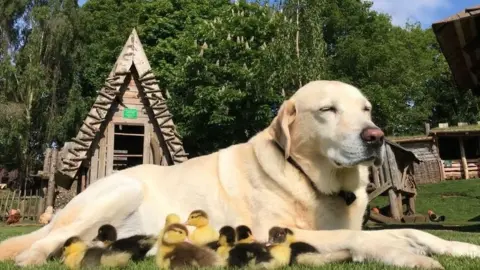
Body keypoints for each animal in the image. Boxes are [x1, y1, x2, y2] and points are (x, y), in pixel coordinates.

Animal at [0, 80, 480, 268]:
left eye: (366, 109)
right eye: (328, 110)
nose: (376, 136)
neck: (313, 181)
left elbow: (418, 231)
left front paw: (459, 248)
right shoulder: (275, 231)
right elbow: (370, 237)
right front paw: (404, 253)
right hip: (121, 189)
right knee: (41, 246)